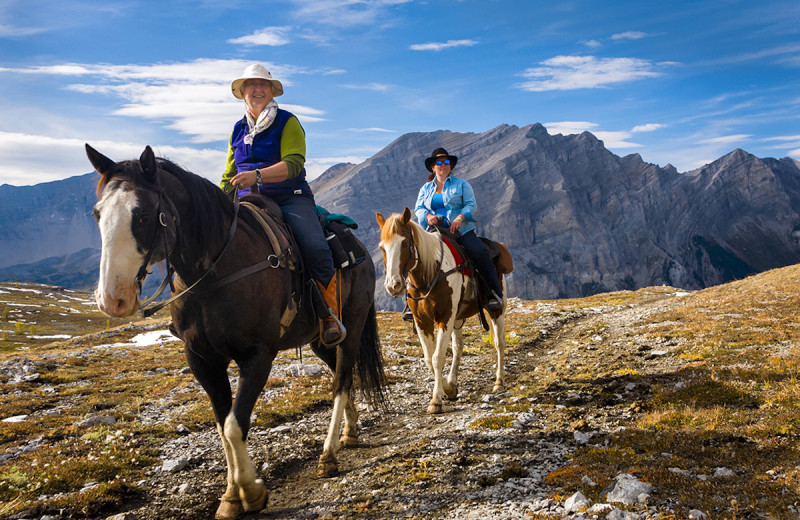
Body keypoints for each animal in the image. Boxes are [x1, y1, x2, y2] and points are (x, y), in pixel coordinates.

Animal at [86, 144, 386, 516]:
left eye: (141, 215)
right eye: (98, 214)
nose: (112, 299)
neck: (216, 271)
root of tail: (360, 248)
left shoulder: (257, 356)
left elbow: (233, 425)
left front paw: (251, 492)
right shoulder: (202, 360)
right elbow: (221, 425)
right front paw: (231, 496)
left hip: (352, 327)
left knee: (341, 381)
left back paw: (328, 455)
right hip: (320, 339)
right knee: (340, 376)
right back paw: (350, 431)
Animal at [376, 207, 512, 414]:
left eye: (405, 243)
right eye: (382, 248)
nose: (394, 285)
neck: (430, 274)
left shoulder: (444, 318)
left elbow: (438, 357)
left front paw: (436, 400)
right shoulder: (422, 321)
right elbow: (428, 359)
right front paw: (449, 389)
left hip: (497, 310)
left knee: (499, 343)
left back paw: (499, 382)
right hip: (457, 318)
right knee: (458, 347)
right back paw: (453, 380)